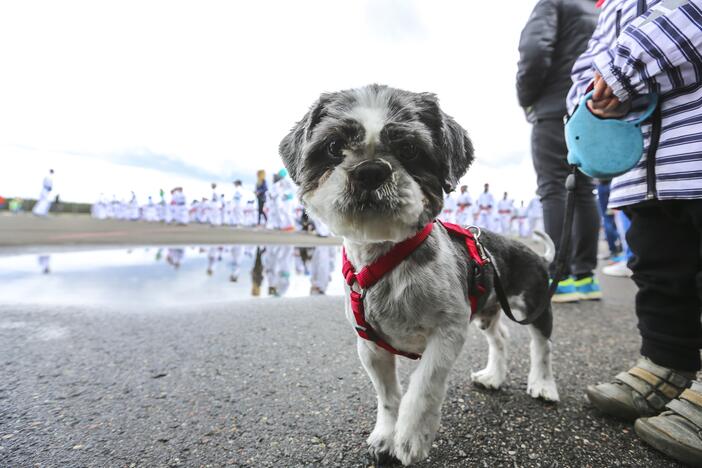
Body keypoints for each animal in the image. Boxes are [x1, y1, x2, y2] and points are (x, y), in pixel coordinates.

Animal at [278, 84, 560, 464]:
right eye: (335, 146)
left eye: (409, 149)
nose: (370, 170)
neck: (389, 260)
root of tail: (532, 253)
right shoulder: (370, 345)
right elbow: (388, 395)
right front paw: (386, 435)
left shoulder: (448, 332)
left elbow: (423, 387)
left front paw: (411, 436)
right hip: (488, 309)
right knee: (500, 338)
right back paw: (493, 376)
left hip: (534, 304)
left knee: (541, 346)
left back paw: (543, 384)